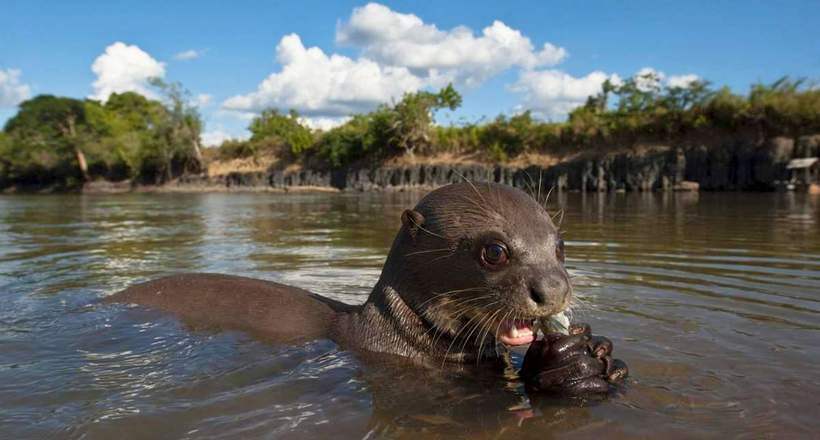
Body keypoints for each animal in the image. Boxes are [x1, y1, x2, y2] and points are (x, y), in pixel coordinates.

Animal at [107, 182, 628, 396]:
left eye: (560, 245)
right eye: (495, 251)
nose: (553, 289)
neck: (398, 338)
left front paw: (594, 357)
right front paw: (568, 363)